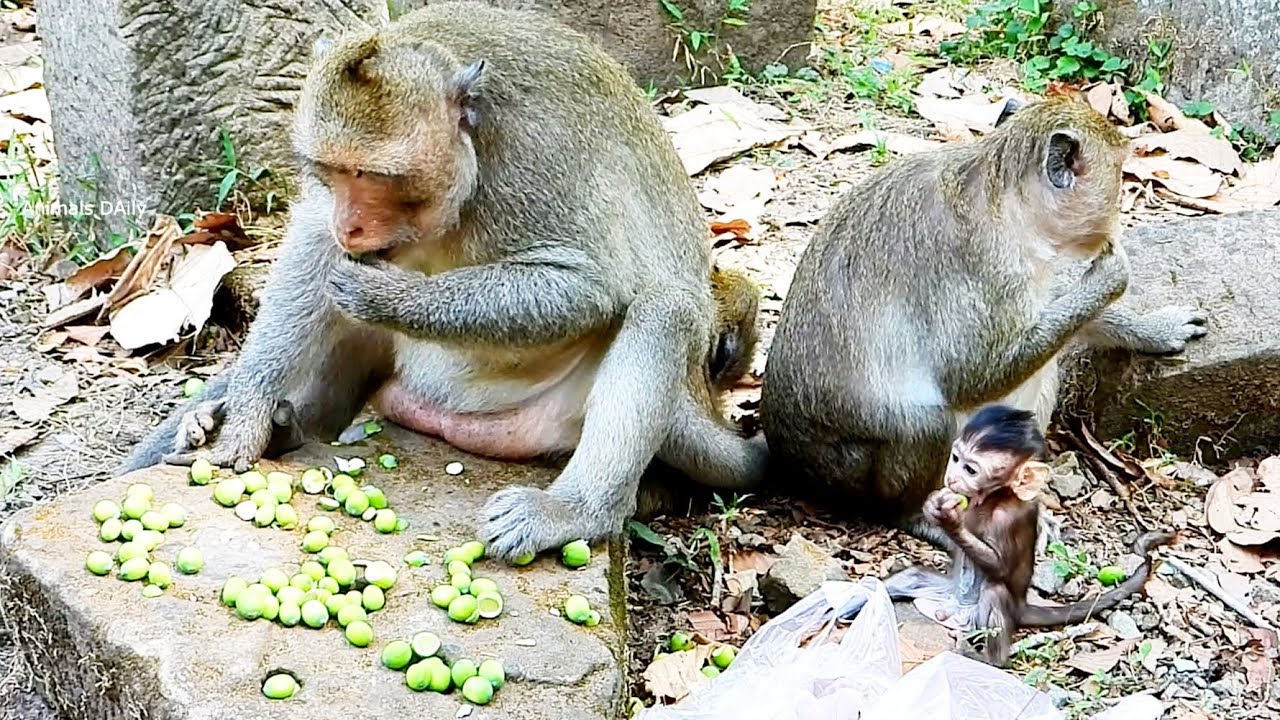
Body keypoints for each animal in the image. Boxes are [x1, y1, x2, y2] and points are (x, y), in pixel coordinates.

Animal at [120, 1, 767, 561]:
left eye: (374, 175)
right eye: (333, 170)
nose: (350, 223)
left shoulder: (536, 158)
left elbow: (587, 286)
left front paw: (387, 295)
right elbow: (310, 252)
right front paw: (249, 409)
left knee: (664, 308)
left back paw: (577, 511)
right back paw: (287, 428)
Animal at [760, 96, 1207, 538]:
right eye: (1118, 175)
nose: (1118, 216)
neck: (1007, 201)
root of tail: (795, 464)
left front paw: (1152, 328)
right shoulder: (989, 266)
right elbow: (968, 375)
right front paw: (1111, 279)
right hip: (851, 468)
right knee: (926, 424)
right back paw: (919, 516)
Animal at [838, 405, 1174, 667]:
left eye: (971, 470)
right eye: (956, 459)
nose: (953, 478)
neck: (991, 498)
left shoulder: (1007, 518)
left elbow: (1000, 567)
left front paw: (950, 521)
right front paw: (934, 507)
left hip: (980, 615)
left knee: (994, 593)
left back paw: (990, 659)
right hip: (943, 592)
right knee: (911, 577)